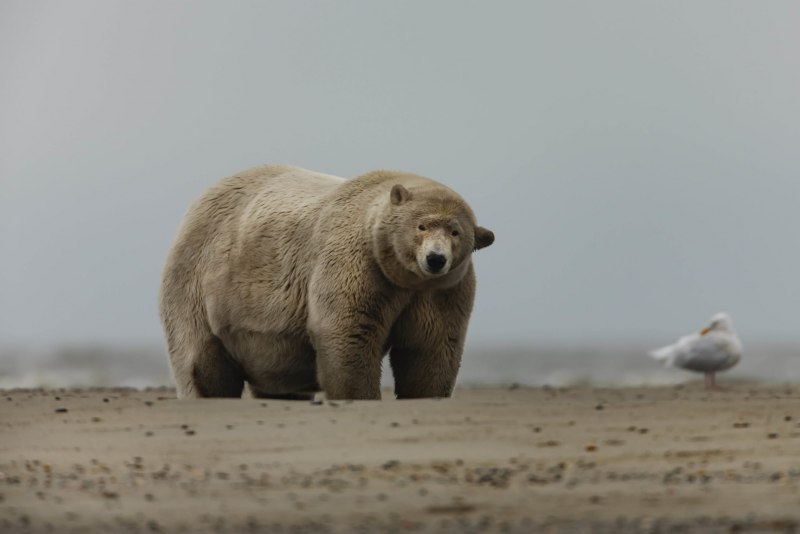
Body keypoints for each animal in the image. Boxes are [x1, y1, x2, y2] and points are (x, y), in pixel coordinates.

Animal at [159, 165, 494, 400]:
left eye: (455, 232)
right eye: (421, 226)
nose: (436, 259)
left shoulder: (441, 291)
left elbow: (431, 346)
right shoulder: (357, 264)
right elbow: (347, 334)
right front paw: (360, 395)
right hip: (200, 281)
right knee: (200, 360)